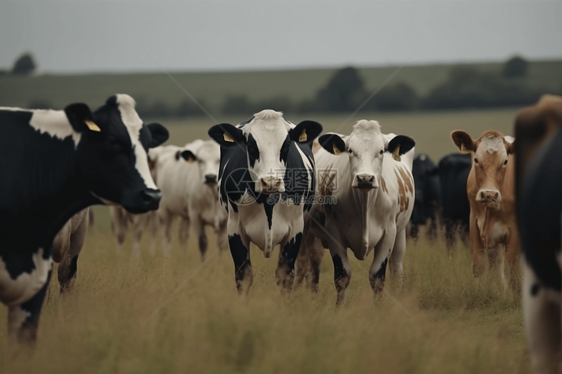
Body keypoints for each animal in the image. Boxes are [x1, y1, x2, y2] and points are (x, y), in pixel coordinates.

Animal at [207, 109, 322, 294]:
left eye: (286, 146)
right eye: (251, 146)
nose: (271, 182)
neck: (268, 203)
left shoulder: (295, 228)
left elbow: (285, 276)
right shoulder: (234, 228)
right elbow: (243, 276)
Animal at [296, 121, 414, 306]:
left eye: (381, 151)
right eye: (350, 150)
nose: (365, 178)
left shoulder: (389, 232)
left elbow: (377, 277)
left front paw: (379, 309)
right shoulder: (334, 232)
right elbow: (342, 276)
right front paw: (339, 308)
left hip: (400, 232)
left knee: (396, 266)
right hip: (306, 229)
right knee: (302, 264)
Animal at [450, 128, 516, 286]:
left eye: (505, 161)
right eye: (476, 159)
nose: (489, 194)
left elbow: (513, 274)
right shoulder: (474, 223)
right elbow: (478, 266)